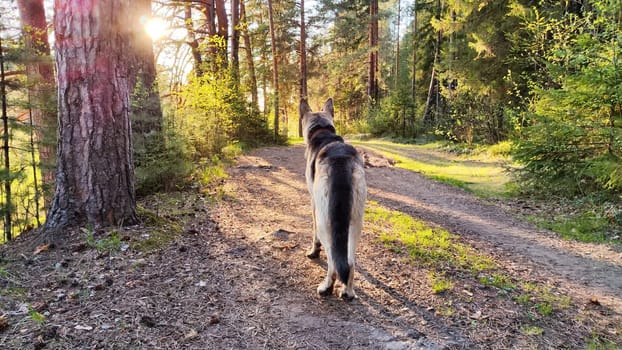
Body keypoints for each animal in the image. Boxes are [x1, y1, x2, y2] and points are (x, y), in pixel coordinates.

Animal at [302, 97, 368, 300]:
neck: (322, 132)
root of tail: (340, 161)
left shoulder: (313, 205)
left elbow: (314, 236)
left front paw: (314, 252)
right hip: (355, 223)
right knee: (349, 262)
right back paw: (348, 291)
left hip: (325, 222)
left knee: (333, 260)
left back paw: (327, 287)